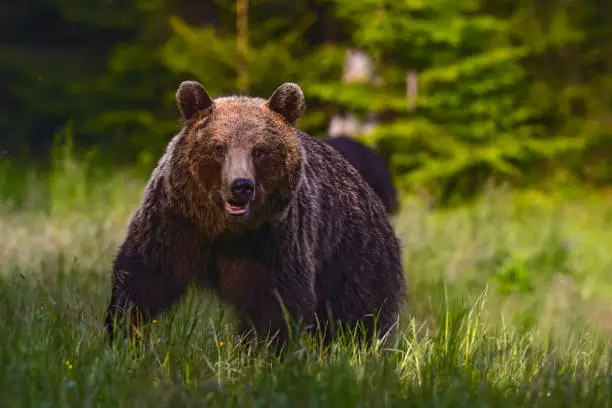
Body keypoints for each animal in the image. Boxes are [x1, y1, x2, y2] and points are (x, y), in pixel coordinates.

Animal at [105, 80, 408, 348]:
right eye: (219, 147)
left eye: (259, 150)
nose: (241, 186)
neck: (222, 228)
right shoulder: (175, 224)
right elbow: (142, 280)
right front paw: (122, 336)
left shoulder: (273, 241)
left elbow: (276, 303)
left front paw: (266, 352)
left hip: (355, 259)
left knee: (360, 317)